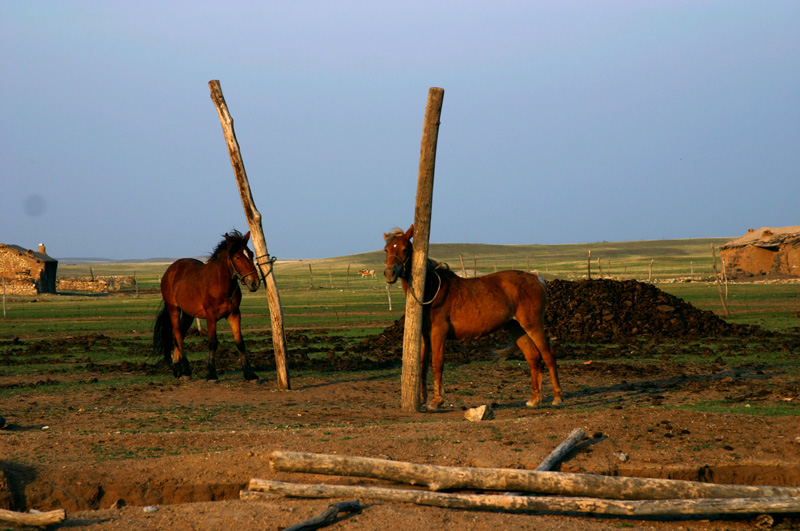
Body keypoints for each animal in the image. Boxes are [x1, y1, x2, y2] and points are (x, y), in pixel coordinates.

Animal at [152, 231, 260, 380]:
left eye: (251, 254)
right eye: (237, 257)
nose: (254, 283)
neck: (221, 285)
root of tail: (171, 270)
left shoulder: (234, 314)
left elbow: (240, 343)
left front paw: (250, 374)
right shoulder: (211, 316)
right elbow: (212, 343)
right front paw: (211, 374)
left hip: (188, 314)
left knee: (178, 336)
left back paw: (180, 369)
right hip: (173, 309)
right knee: (178, 336)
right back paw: (184, 369)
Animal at [382, 227, 564, 410]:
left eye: (405, 249)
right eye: (387, 249)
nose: (390, 273)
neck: (431, 290)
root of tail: (535, 278)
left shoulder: (438, 333)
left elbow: (437, 364)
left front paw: (437, 401)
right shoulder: (424, 335)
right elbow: (422, 365)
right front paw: (421, 399)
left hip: (533, 325)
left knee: (548, 354)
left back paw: (557, 398)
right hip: (517, 327)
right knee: (533, 357)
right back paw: (534, 400)